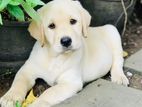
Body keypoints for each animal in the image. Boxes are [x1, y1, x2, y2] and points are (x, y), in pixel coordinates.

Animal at [0, 0, 129, 106]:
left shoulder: (70, 82)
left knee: (118, 61)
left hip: (113, 31)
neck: (54, 57)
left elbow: (49, 92)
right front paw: (10, 97)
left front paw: (37, 104)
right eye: (51, 26)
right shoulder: (27, 70)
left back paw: (119, 77)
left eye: (73, 21)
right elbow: (18, 82)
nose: (66, 41)